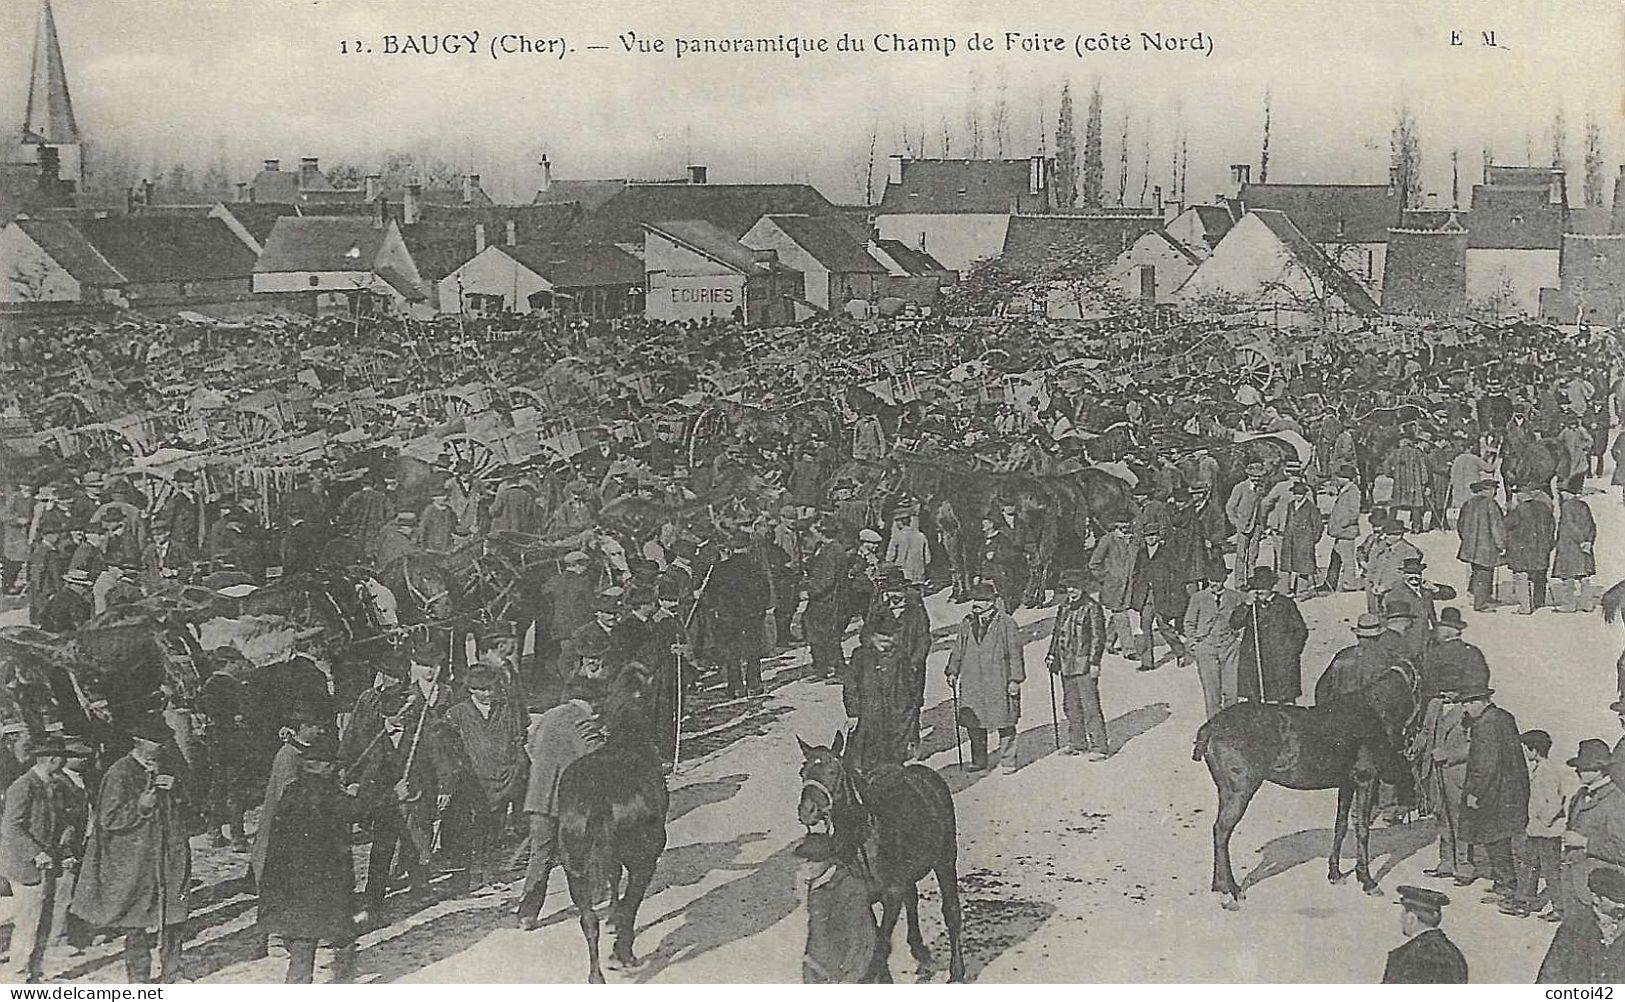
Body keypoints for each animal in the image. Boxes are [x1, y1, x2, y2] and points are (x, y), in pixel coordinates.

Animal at [552, 665, 666, 987]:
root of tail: (598, 797)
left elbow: (613, 882)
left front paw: (612, 919)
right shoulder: (646, 854)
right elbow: (629, 900)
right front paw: (620, 945)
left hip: (574, 866)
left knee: (588, 920)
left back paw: (595, 975)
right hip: (644, 854)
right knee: (632, 901)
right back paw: (622, 954)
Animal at [799, 730, 962, 980]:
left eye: (832, 771)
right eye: (803, 773)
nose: (807, 811)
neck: (864, 833)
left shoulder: (891, 893)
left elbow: (881, 944)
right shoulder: (863, 896)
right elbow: (875, 939)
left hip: (945, 858)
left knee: (951, 910)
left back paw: (957, 971)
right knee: (911, 899)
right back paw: (920, 951)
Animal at [1189, 659, 1417, 909]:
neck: (1375, 707)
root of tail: (1210, 728)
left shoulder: (1347, 783)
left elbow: (1340, 826)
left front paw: (1335, 874)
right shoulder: (1366, 779)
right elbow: (1362, 829)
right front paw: (1367, 881)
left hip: (1226, 790)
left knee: (1218, 831)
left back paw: (1220, 886)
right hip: (1239, 789)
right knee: (1222, 831)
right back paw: (1230, 890)